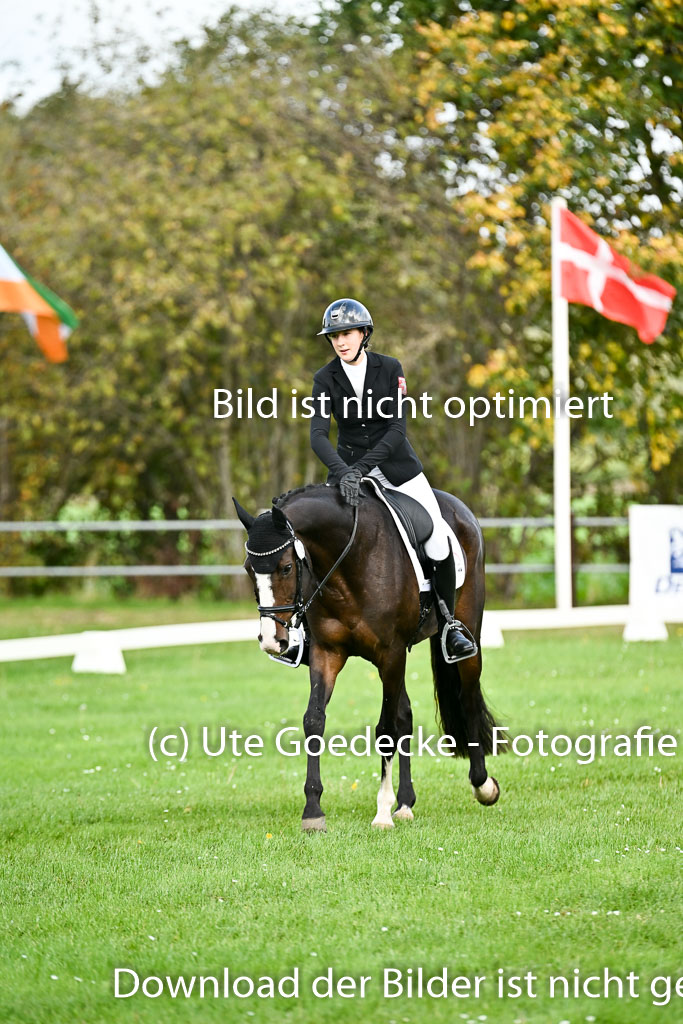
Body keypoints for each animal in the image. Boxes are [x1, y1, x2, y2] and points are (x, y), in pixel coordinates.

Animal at [233, 482, 500, 831]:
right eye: (248, 569)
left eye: (287, 568)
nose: (271, 641)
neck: (349, 561)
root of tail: (459, 507)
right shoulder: (327, 653)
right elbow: (314, 720)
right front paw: (313, 811)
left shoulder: (391, 653)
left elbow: (386, 729)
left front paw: (382, 812)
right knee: (406, 714)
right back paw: (405, 803)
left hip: (464, 631)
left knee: (466, 697)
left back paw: (482, 785)